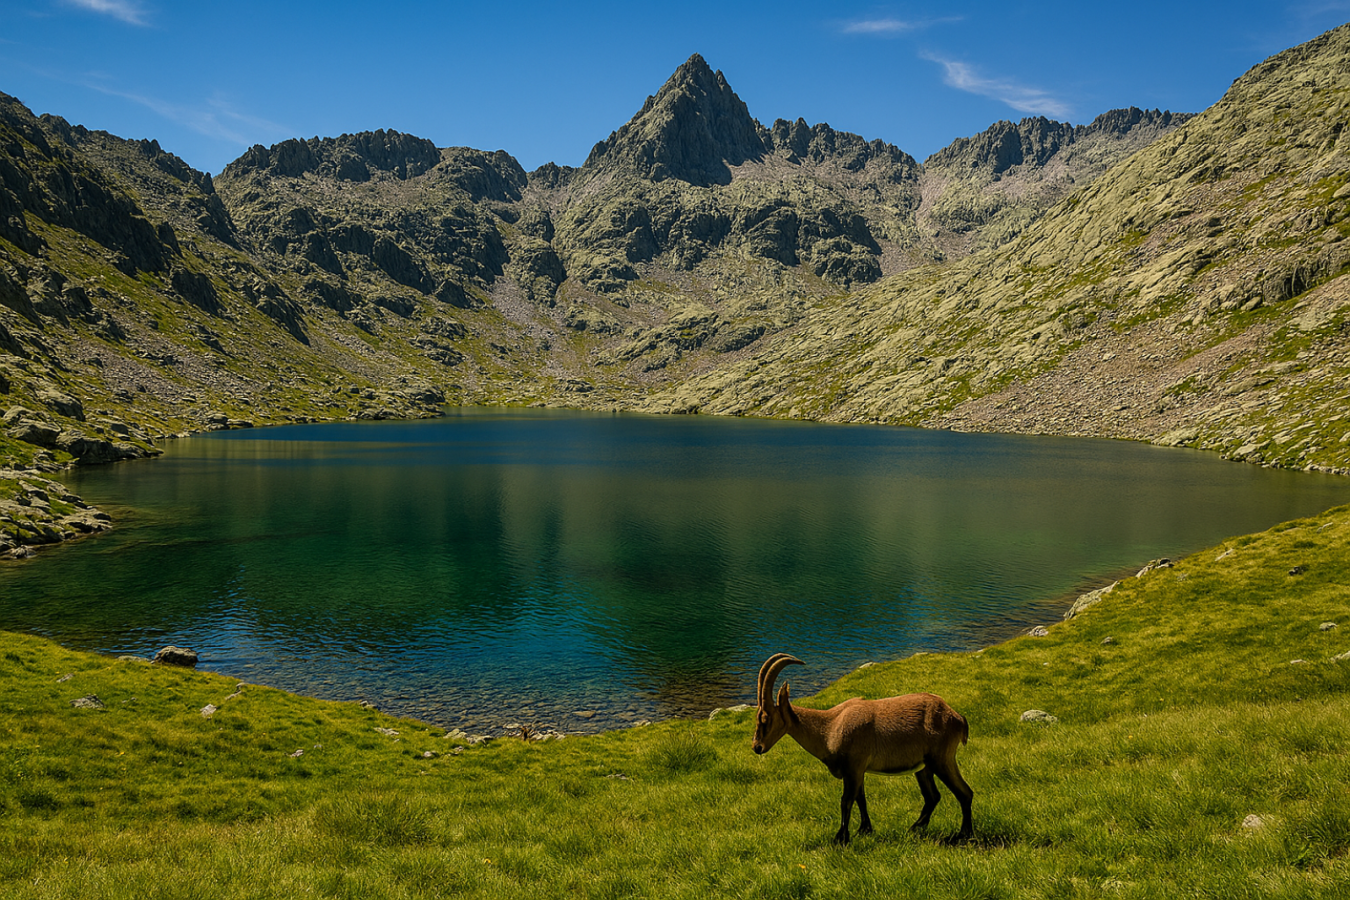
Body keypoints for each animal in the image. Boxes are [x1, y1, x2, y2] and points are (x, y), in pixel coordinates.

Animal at [750, 653, 973, 845]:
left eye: (765, 718)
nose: (757, 747)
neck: (830, 727)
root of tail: (957, 718)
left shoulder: (854, 767)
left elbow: (846, 800)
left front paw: (841, 838)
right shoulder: (857, 771)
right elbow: (861, 798)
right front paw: (864, 830)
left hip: (942, 760)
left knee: (964, 792)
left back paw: (964, 835)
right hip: (924, 767)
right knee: (933, 796)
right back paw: (915, 828)